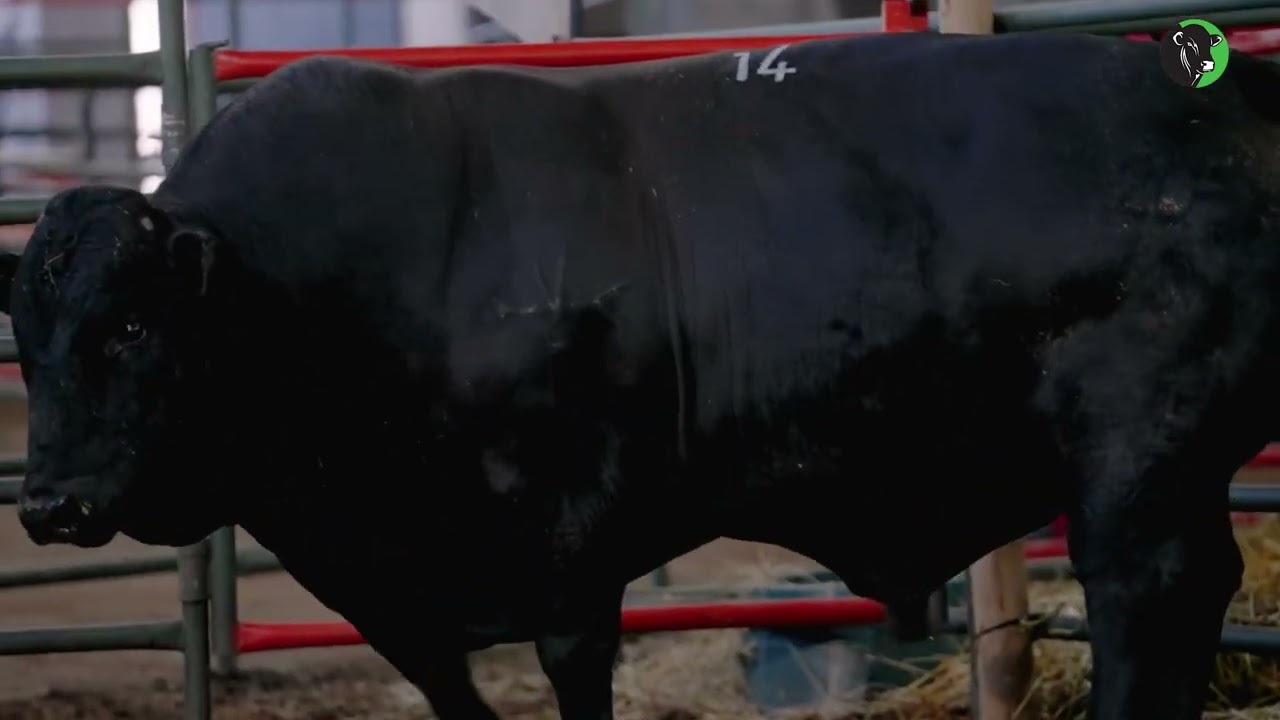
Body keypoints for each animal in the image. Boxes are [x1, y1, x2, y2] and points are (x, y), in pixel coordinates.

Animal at [1, 30, 1278, 720]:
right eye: (26, 330)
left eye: (129, 326)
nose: (50, 501)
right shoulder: (388, 591)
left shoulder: (569, 542)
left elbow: (573, 674)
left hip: (1135, 466)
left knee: (1142, 601)